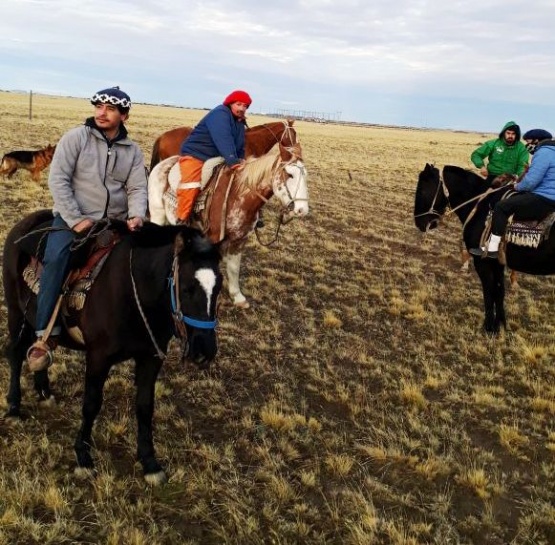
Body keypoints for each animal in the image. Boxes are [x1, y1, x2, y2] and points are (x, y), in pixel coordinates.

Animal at [2, 209, 224, 484]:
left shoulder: (150, 358)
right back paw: (13, 408)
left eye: (219, 286)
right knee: (14, 354)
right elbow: (91, 404)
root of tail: (24, 224)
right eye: (186, 287)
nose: (205, 350)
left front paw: (149, 462)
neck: (133, 290)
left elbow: (145, 406)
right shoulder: (98, 357)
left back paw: (44, 392)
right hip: (15, 313)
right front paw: (83, 458)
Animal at [412, 162, 555, 332]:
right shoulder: (498, 262)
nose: (419, 223)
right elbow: (499, 291)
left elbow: (489, 291)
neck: (481, 207)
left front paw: (489, 327)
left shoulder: (483, 261)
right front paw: (501, 324)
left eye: (422, 189)